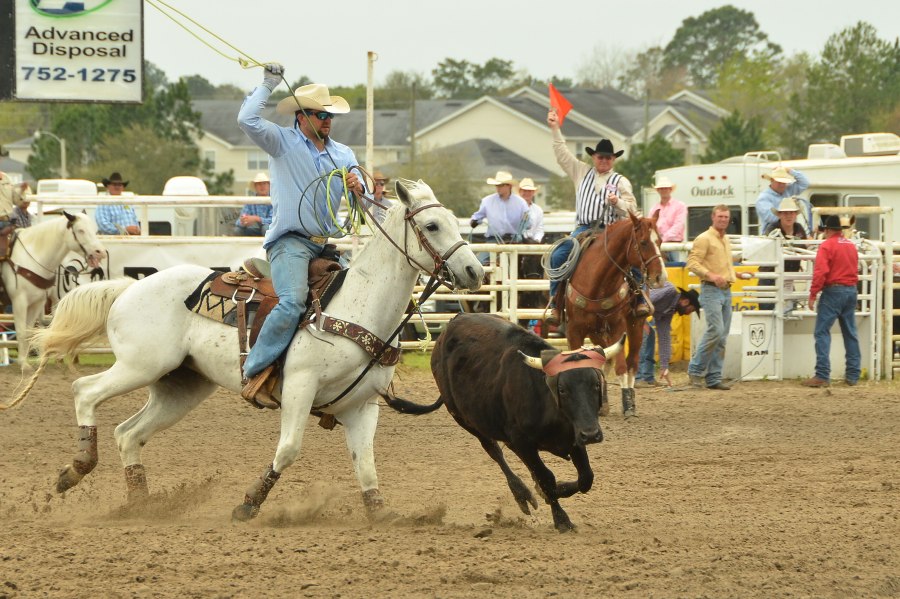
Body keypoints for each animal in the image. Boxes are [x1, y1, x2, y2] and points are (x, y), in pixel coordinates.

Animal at [0, 213, 106, 368]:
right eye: (80, 230)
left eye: (95, 230)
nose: (100, 252)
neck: (33, 257)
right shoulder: (19, 301)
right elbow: (20, 331)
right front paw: (23, 364)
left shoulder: (36, 303)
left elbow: (28, 332)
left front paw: (24, 361)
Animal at [564, 213, 668, 420]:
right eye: (643, 242)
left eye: (659, 240)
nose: (661, 277)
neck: (597, 282)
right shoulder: (574, 330)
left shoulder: (617, 328)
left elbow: (621, 367)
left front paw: (627, 405)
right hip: (596, 332)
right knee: (605, 360)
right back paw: (603, 404)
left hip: (635, 325)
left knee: (631, 363)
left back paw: (630, 401)